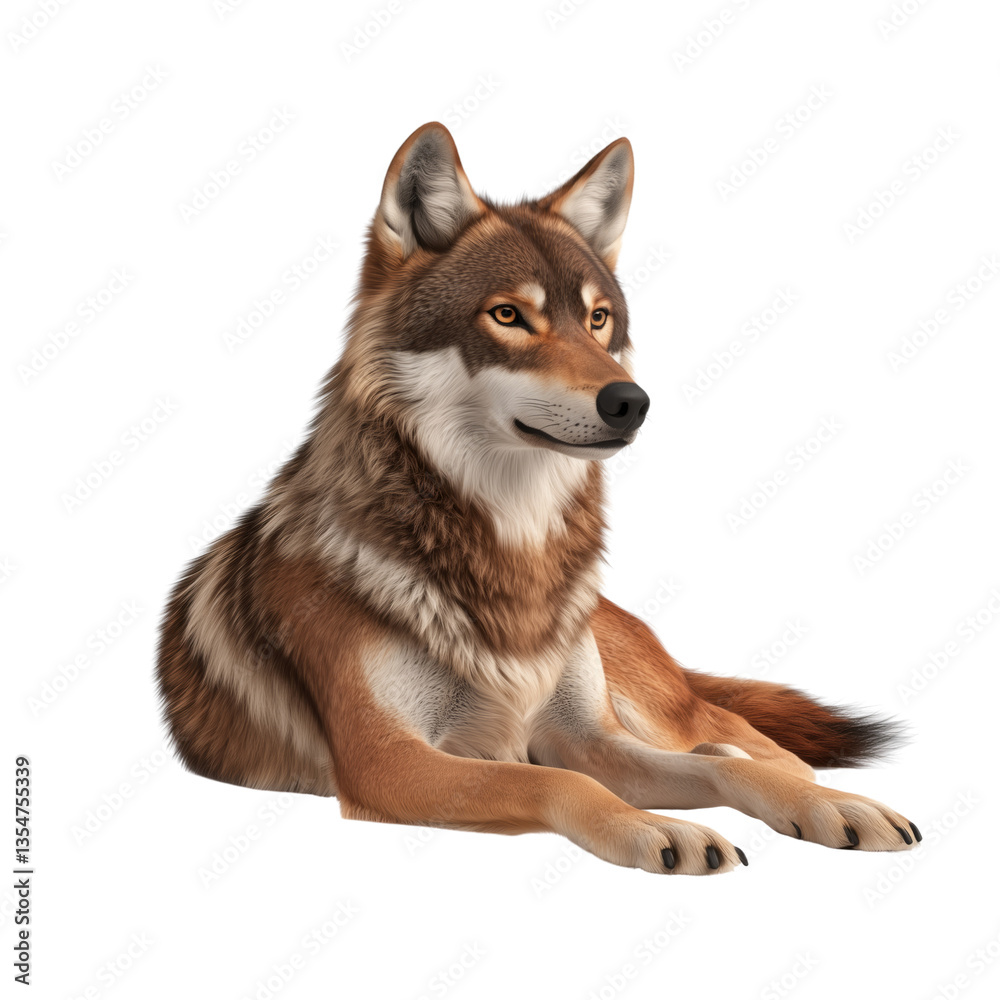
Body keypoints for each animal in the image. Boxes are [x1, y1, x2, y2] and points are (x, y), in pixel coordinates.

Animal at [157, 122, 919, 875]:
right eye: (508, 315)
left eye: (599, 319)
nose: (631, 402)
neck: (515, 549)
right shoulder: (389, 761)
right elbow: (558, 780)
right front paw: (656, 828)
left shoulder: (585, 735)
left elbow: (715, 770)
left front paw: (830, 810)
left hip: (653, 710)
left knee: (753, 746)